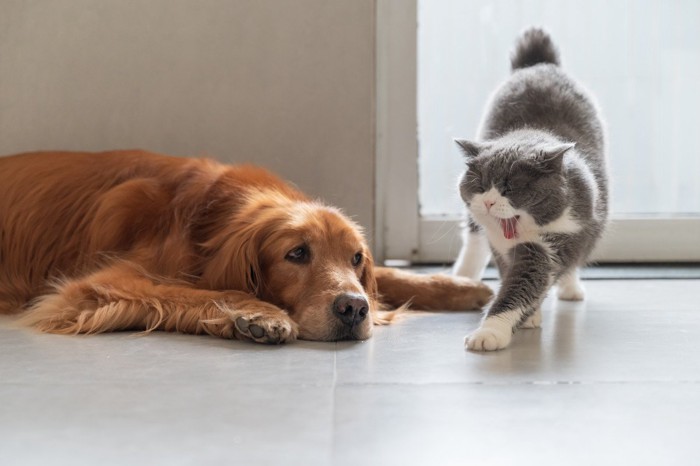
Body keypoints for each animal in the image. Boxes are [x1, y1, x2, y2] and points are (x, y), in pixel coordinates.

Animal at [0, 150, 492, 342]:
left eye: (355, 258)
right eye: (297, 253)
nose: (353, 309)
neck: (207, 221)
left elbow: (390, 276)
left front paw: (462, 287)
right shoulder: (92, 287)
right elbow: (196, 291)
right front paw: (259, 315)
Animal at [454, 28, 608, 350]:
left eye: (510, 187)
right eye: (481, 185)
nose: (488, 202)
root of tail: (539, 65)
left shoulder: (555, 242)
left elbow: (525, 282)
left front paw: (489, 333)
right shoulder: (498, 245)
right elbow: (510, 276)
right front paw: (528, 319)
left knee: (575, 259)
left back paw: (571, 288)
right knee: (473, 238)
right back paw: (461, 278)